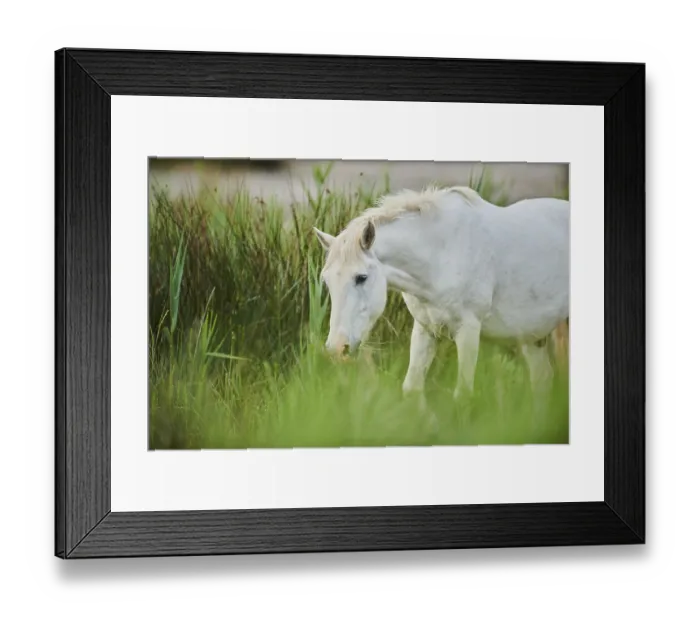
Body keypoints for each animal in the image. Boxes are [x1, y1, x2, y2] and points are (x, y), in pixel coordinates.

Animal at [313, 185, 569, 412]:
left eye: (361, 277)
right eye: (327, 282)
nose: (337, 348)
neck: (442, 253)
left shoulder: (468, 330)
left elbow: (463, 396)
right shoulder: (426, 328)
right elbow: (412, 389)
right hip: (533, 337)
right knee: (542, 381)